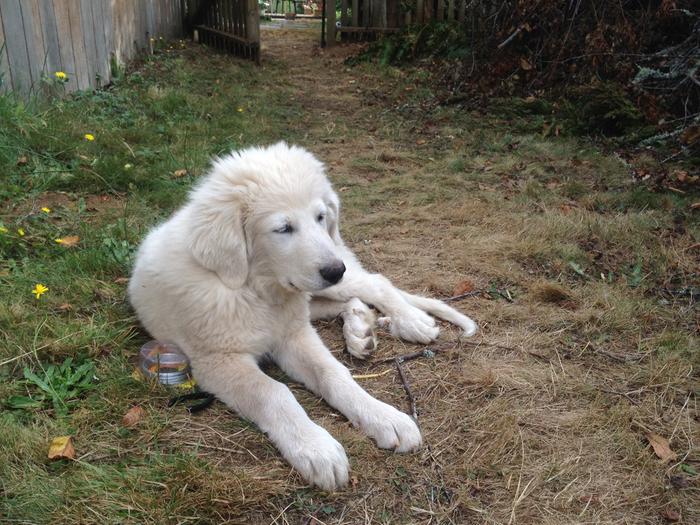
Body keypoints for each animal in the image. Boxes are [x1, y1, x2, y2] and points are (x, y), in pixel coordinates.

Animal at [129, 142, 476, 488]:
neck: (255, 290)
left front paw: (383, 416)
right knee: (352, 301)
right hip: (318, 292)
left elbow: (334, 374)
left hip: (336, 275)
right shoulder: (218, 360)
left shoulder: (294, 334)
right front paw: (316, 448)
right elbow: (274, 392)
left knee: (376, 283)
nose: (335, 270)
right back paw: (360, 330)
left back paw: (410, 321)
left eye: (320, 217)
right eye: (283, 228)